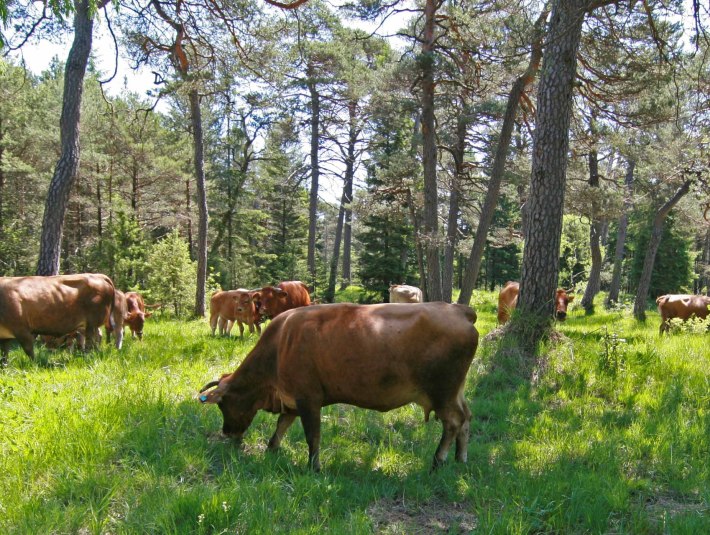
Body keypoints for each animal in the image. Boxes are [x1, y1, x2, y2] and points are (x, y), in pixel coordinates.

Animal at [197, 304, 482, 472]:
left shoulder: (308, 399)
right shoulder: (292, 400)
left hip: (442, 392)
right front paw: (271, 450)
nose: (227, 432)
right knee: (467, 417)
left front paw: (314, 467)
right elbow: (281, 426)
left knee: (453, 422)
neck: (278, 348)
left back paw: (437, 461)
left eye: (223, 404)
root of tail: (458, 310)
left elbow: (312, 435)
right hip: (456, 391)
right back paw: (461, 458)